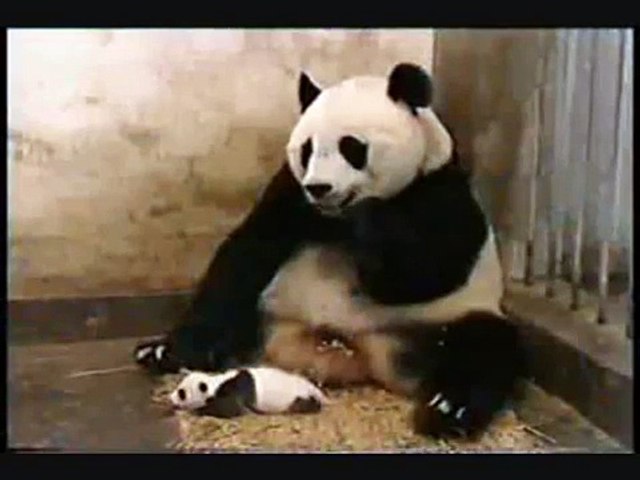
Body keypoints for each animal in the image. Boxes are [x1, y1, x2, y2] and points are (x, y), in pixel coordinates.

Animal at [169, 367, 327, 417]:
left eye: (181, 393)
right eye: (178, 388)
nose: (170, 399)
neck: (214, 382)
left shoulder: (233, 390)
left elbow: (230, 409)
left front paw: (196, 410)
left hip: (300, 397)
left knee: (303, 405)